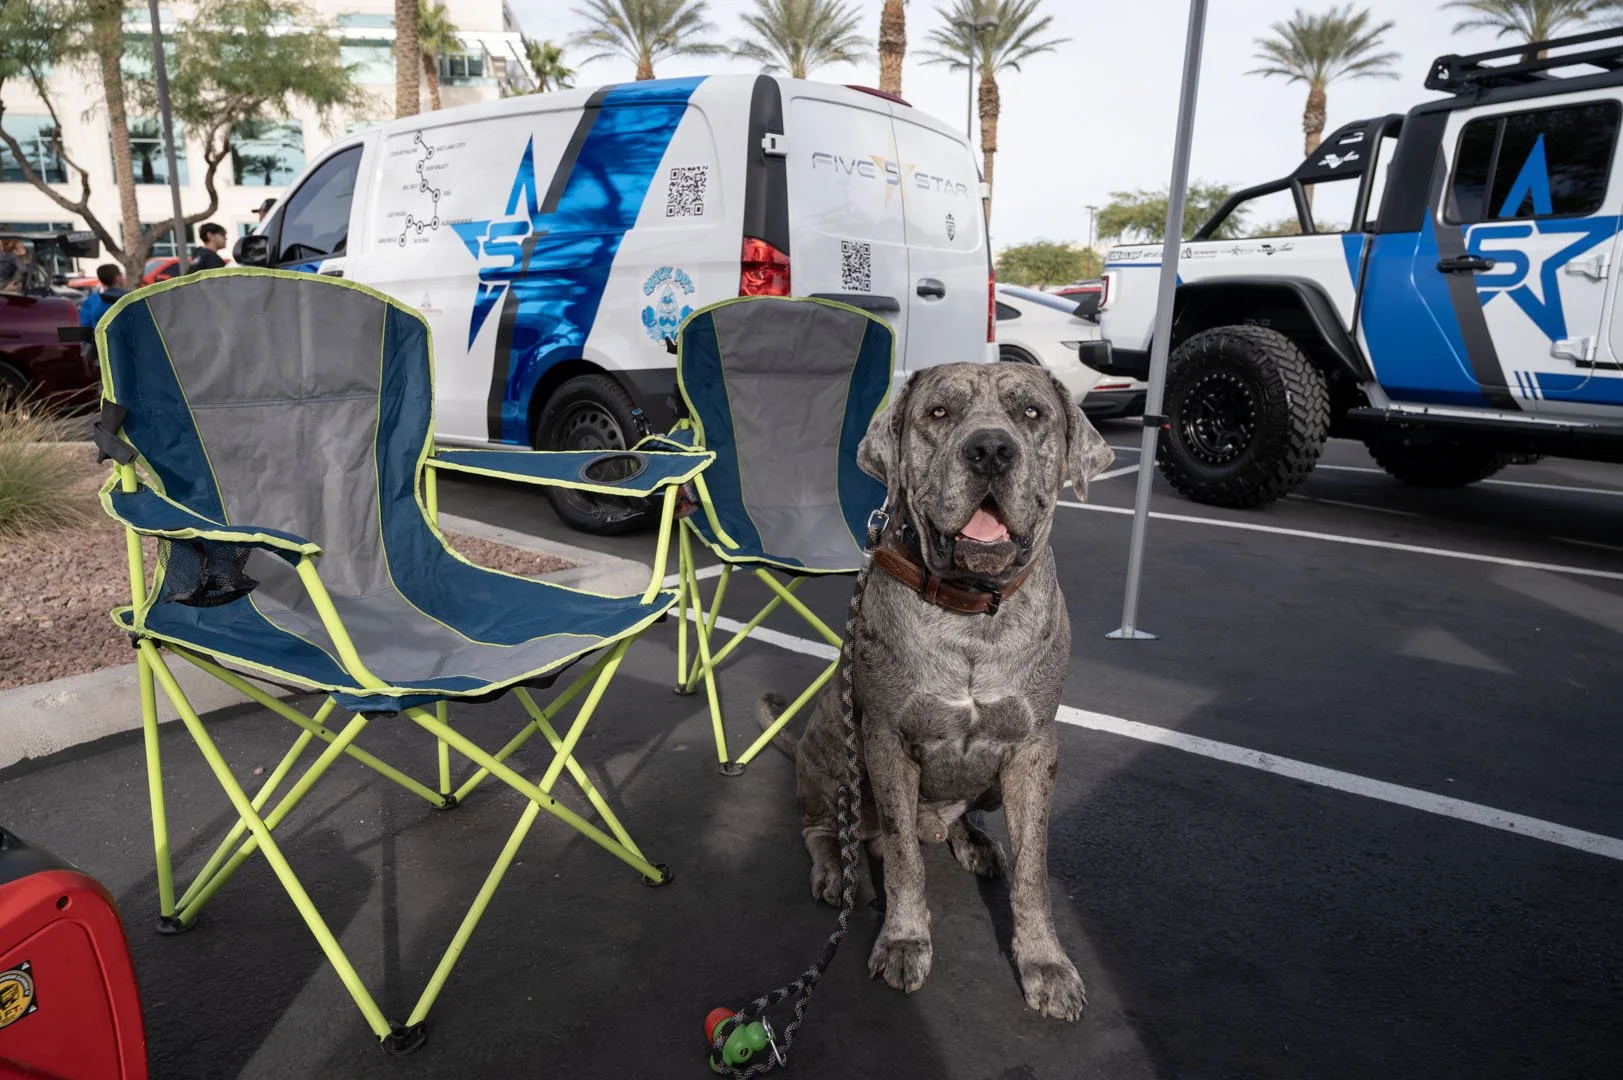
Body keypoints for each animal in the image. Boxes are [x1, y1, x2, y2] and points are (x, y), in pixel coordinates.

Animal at [758, 360, 1114, 1021]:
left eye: (1032, 413)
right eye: (939, 413)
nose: (991, 449)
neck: (971, 608)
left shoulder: (1035, 749)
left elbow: (1034, 870)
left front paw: (1045, 964)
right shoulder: (886, 741)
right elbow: (902, 858)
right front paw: (903, 941)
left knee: (956, 820)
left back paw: (972, 841)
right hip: (834, 755)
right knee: (823, 828)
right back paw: (833, 870)